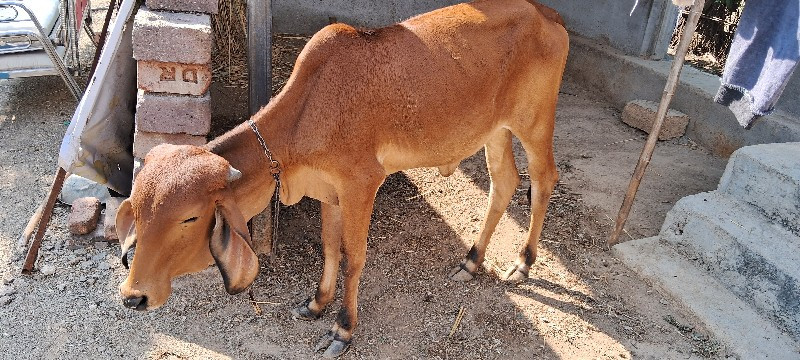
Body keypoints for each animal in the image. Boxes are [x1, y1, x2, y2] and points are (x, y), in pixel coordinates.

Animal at [117, 0, 568, 354]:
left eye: (189, 217)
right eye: (137, 211)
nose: (133, 297)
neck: (309, 110)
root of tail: (546, 14)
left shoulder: (361, 185)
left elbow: (354, 257)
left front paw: (343, 329)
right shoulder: (329, 192)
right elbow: (330, 248)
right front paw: (317, 304)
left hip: (534, 123)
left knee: (544, 179)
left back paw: (523, 263)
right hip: (495, 131)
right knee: (504, 183)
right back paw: (471, 260)